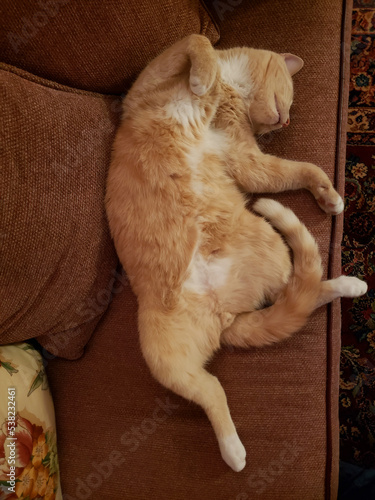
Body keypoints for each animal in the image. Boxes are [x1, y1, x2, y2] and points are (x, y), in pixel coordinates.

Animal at [105, 35, 368, 472]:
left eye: (281, 119)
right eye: (289, 100)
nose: (284, 123)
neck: (230, 93)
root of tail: (225, 312)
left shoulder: (247, 163)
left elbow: (303, 169)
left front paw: (330, 197)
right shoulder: (152, 81)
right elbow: (199, 43)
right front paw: (202, 78)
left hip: (270, 250)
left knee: (304, 290)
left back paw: (350, 284)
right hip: (163, 353)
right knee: (213, 388)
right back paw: (233, 451)